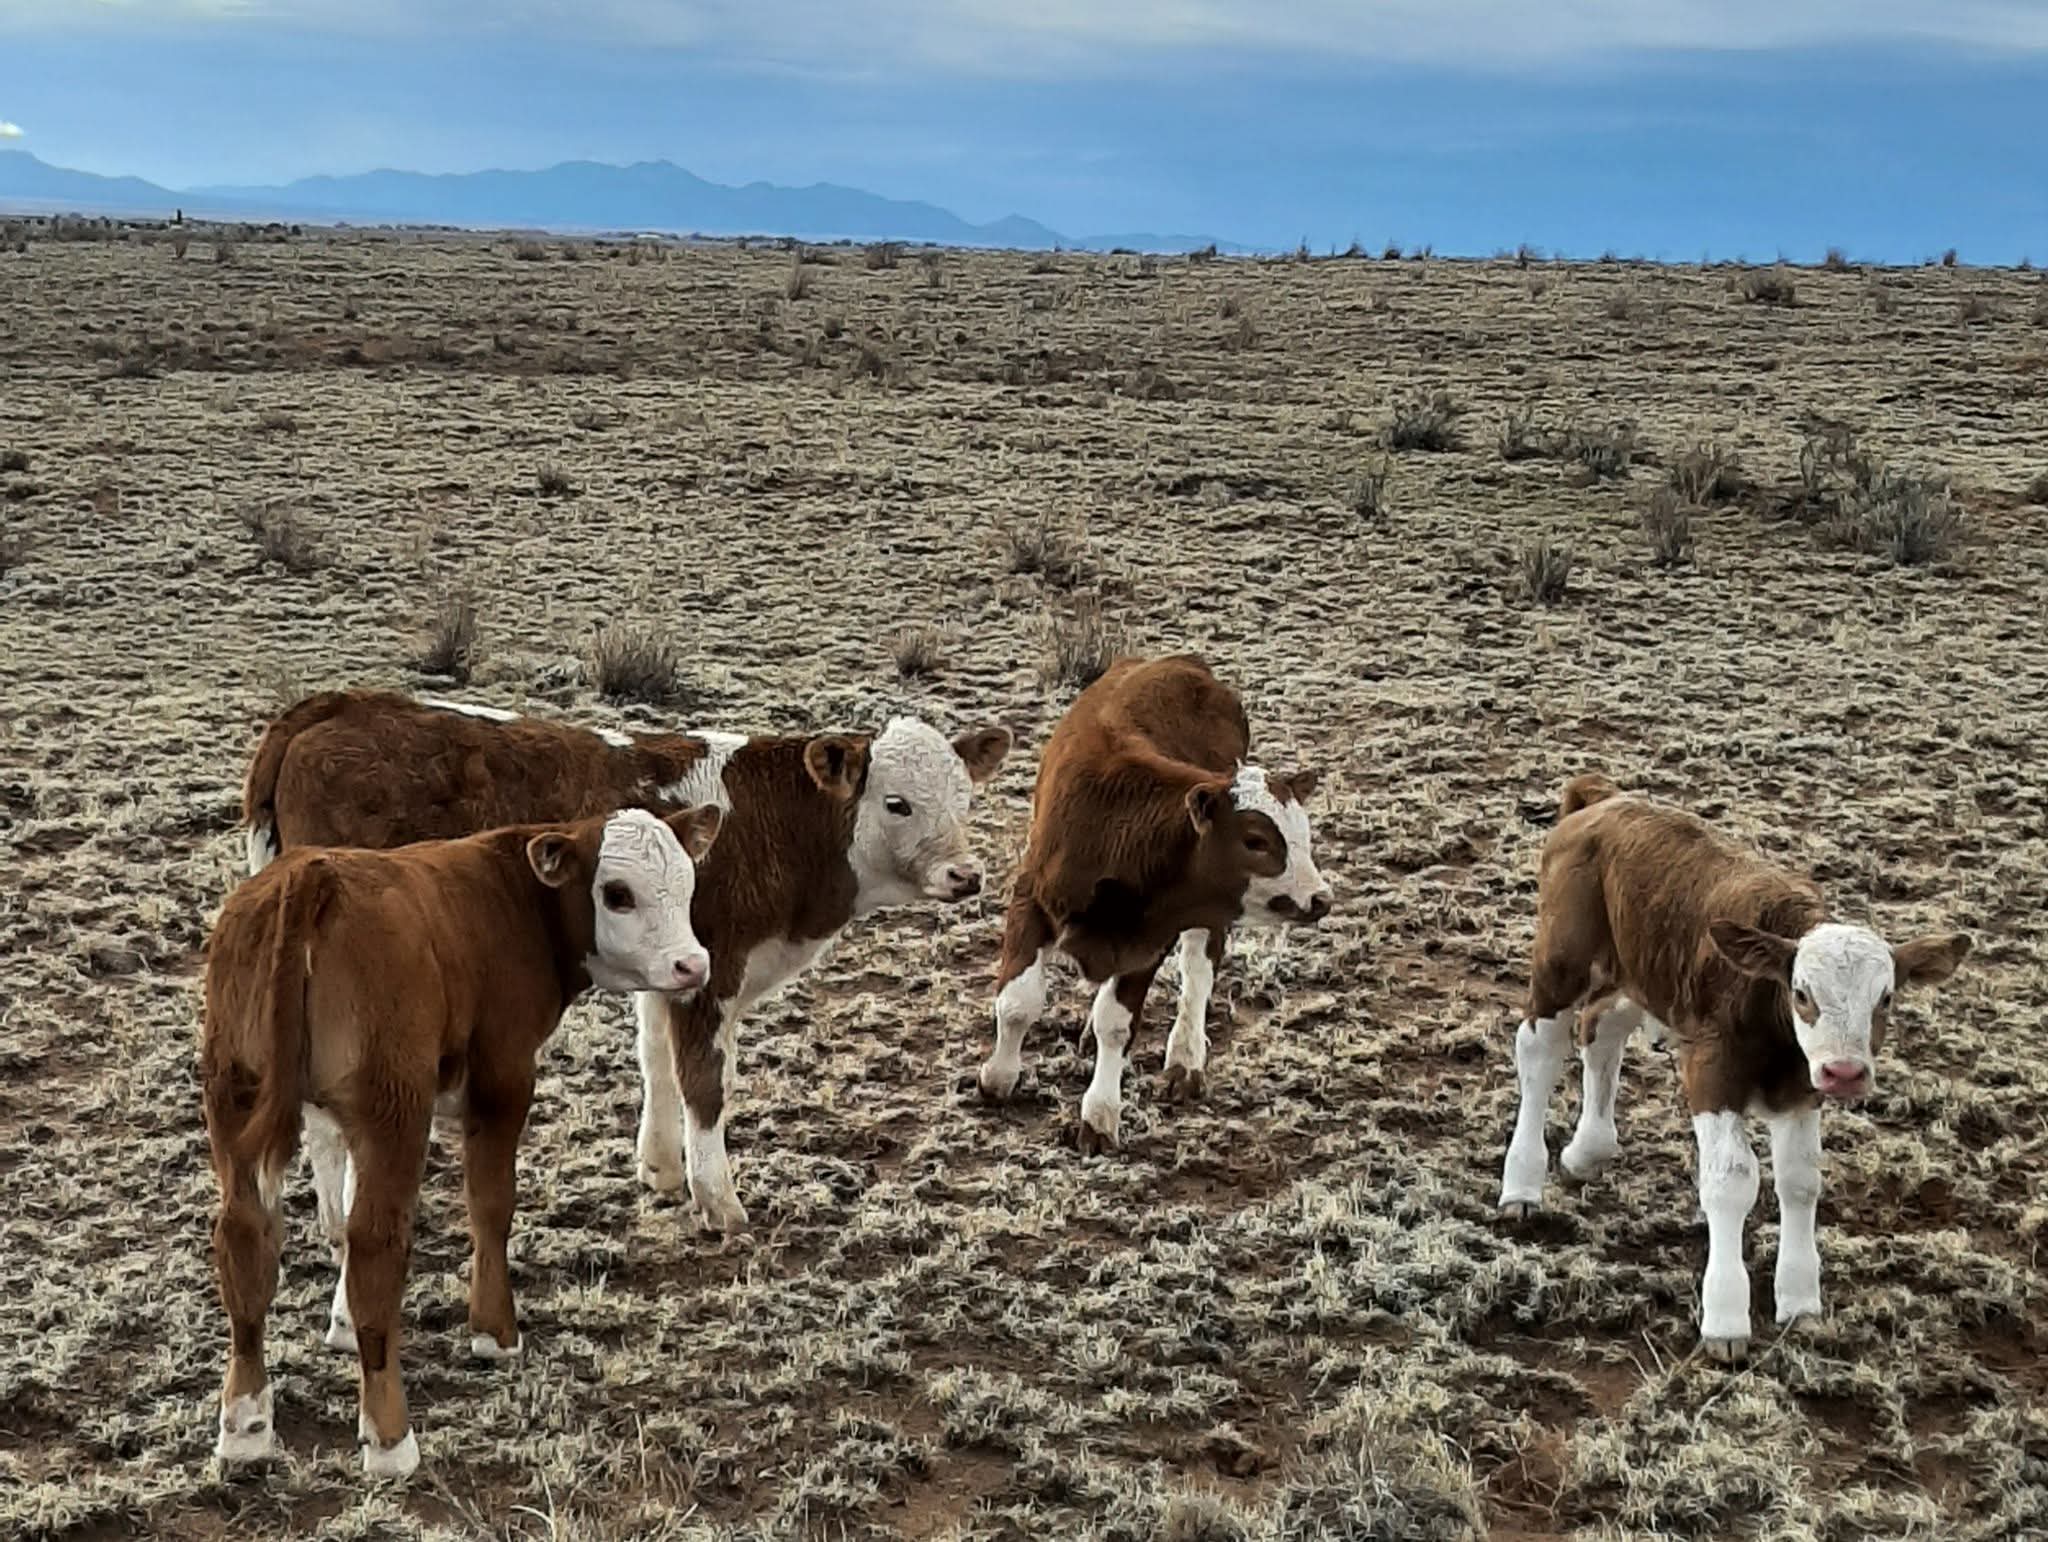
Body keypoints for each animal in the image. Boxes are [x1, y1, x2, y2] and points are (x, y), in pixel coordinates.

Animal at [202, 805, 722, 1477]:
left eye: (686, 882)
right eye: (617, 894)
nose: (692, 965)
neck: (510, 900)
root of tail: (312, 880)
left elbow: (342, 1206)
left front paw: (339, 1321)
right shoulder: (503, 1076)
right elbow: (489, 1205)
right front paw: (494, 1331)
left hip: (235, 1096)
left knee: (246, 1238)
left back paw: (245, 1426)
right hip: (396, 1107)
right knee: (377, 1244)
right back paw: (390, 1440)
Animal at [240, 689, 1011, 1233]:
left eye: (966, 798)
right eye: (897, 802)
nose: (965, 876)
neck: (771, 824)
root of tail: (336, 706)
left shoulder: (676, 965)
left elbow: (657, 1063)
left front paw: (662, 1169)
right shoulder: (714, 971)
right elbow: (705, 1081)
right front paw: (719, 1201)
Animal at [975, 654, 1333, 1152]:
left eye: (1304, 834)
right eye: (1256, 840)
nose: (1320, 898)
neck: (1118, 828)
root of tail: (1185, 661)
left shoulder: (1150, 935)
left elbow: (1117, 1022)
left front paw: (1100, 1116)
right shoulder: (1032, 899)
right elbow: (1017, 1001)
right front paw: (998, 1077)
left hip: (1210, 913)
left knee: (1199, 972)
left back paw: (1185, 1059)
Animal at [1496, 774, 1972, 1360]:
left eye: (1885, 998)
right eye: (1802, 993)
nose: (1844, 1072)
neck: (1768, 1008)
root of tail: (1603, 798)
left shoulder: (1801, 1091)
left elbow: (1800, 1181)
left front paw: (1800, 1300)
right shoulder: (1712, 1072)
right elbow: (1731, 1180)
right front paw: (1725, 1321)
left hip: (1639, 974)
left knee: (1602, 1029)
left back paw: (1588, 1150)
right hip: (1562, 959)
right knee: (1540, 1050)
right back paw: (1521, 1186)